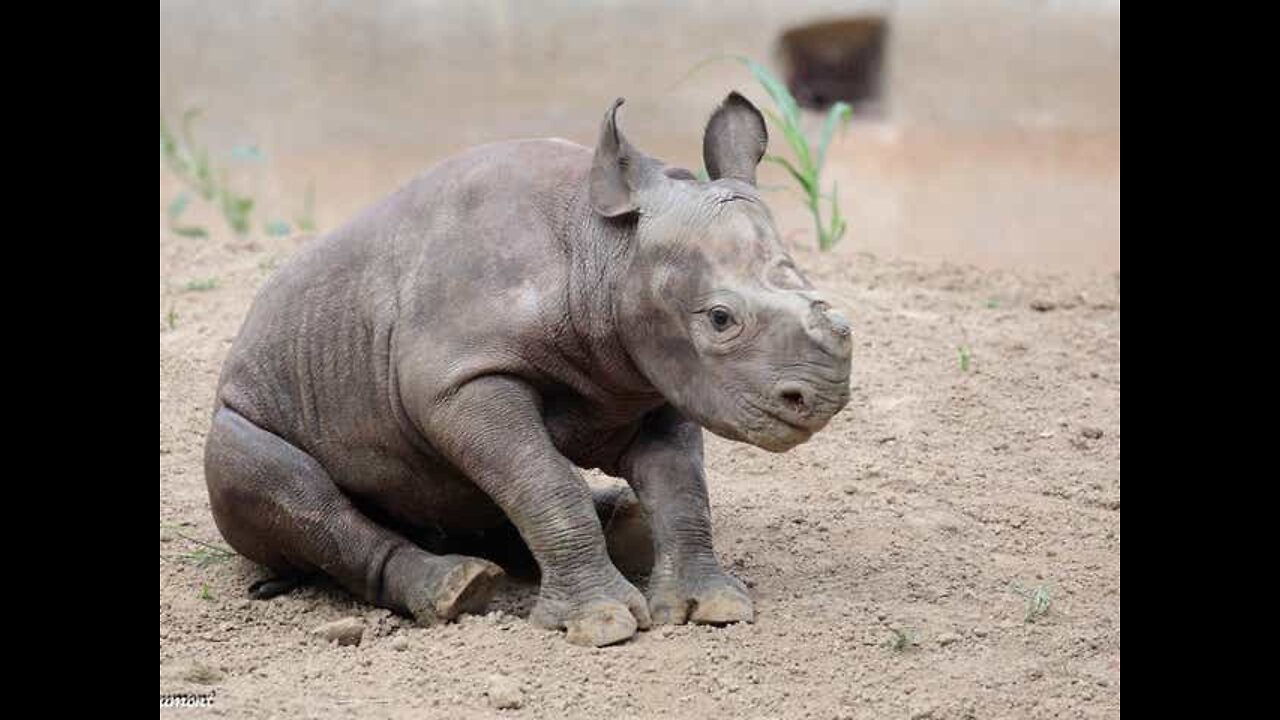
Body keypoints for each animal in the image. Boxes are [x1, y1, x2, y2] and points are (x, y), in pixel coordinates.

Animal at [207, 92, 849, 648]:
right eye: (720, 319)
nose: (822, 398)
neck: (604, 251)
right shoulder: (460, 379)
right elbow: (544, 479)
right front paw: (601, 623)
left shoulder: (659, 380)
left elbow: (680, 486)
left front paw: (710, 608)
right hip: (241, 409)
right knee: (294, 489)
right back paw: (458, 591)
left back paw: (622, 529)